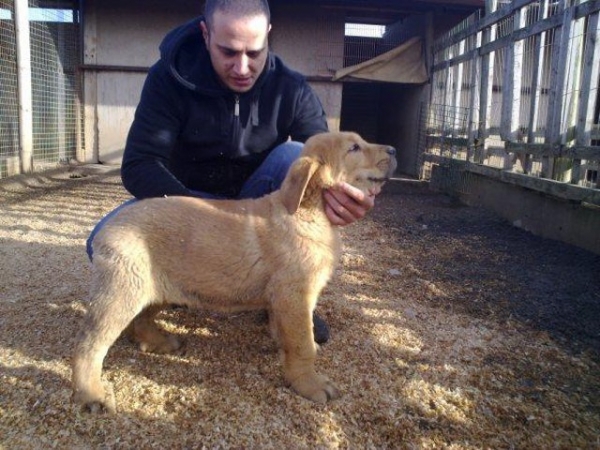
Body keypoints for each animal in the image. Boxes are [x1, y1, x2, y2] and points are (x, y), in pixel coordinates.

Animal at [71, 130, 398, 412]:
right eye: (354, 148)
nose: (394, 150)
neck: (307, 211)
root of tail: (107, 228)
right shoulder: (294, 296)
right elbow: (303, 344)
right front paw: (310, 384)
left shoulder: (286, 301)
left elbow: (289, 337)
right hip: (122, 291)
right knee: (89, 345)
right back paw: (92, 394)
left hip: (158, 286)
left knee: (140, 321)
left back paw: (159, 341)